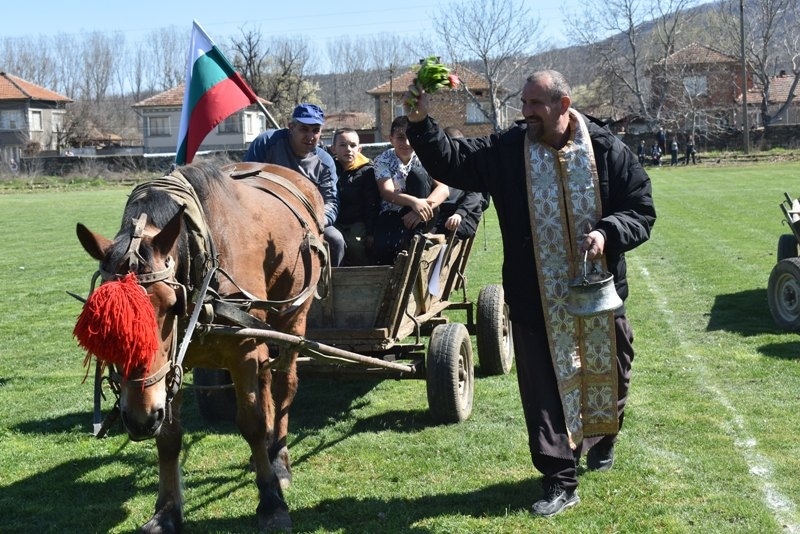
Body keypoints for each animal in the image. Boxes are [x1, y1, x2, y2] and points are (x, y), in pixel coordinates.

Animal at [72, 161, 328, 532]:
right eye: (102, 316)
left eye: (169, 305)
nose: (139, 419)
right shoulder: (172, 366)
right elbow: (169, 436)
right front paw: (166, 512)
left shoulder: (242, 350)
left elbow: (250, 422)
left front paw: (271, 501)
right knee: (266, 382)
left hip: (293, 315)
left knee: (283, 385)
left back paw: (278, 459)